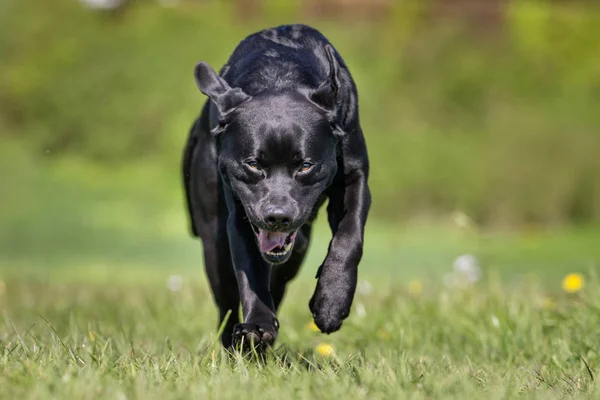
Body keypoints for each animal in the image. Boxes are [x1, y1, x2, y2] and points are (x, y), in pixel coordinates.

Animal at [183, 24, 370, 350]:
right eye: (253, 164)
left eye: (305, 165)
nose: (278, 216)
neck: (281, 76)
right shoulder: (240, 216)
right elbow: (250, 273)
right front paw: (257, 326)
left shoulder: (356, 178)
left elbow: (349, 237)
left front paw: (331, 302)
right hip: (214, 242)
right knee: (226, 302)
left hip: (299, 248)